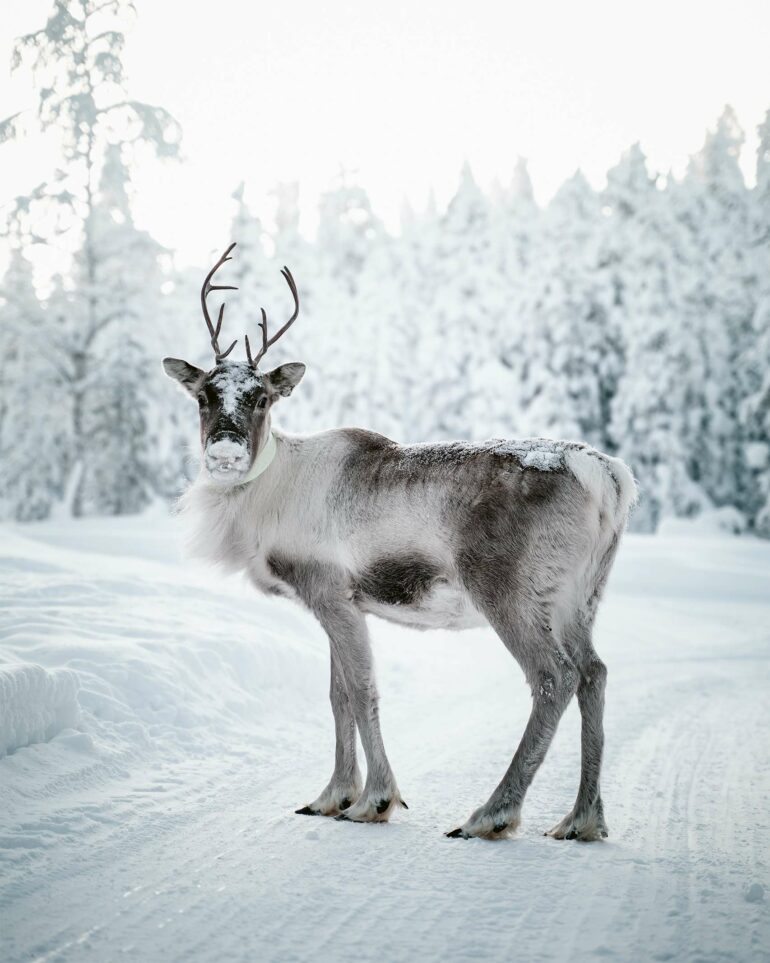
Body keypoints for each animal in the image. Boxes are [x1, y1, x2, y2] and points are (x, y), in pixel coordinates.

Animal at [163, 243, 637, 841]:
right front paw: (331, 796)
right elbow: (338, 694)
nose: (225, 451)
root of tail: (608, 475)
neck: (265, 497)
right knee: (595, 672)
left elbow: (362, 691)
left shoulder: (328, 591)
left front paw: (376, 800)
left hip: (508, 590)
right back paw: (581, 819)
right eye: (204, 395)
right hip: (581, 595)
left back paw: (490, 814)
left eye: (262, 398)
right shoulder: (342, 601)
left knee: (555, 677)